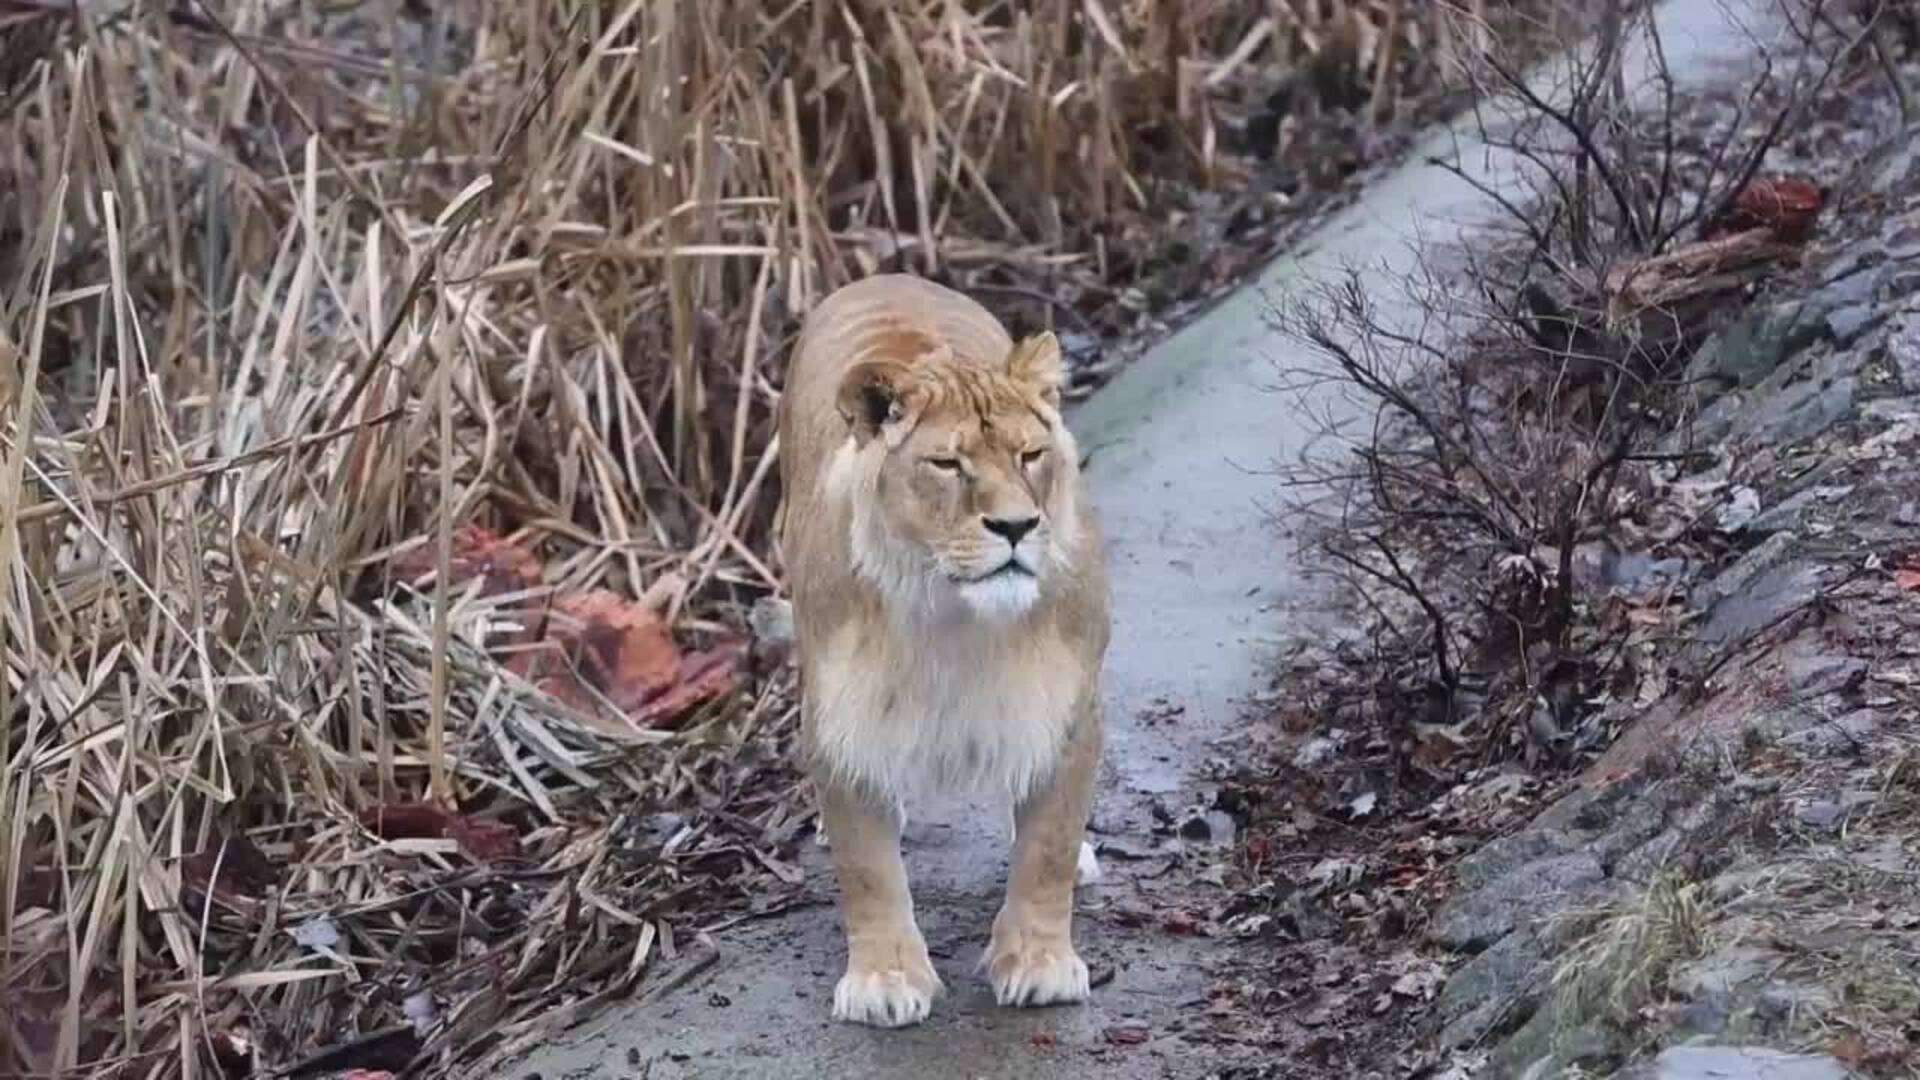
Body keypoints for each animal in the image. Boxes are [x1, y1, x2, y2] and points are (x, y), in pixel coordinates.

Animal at [775, 272, 1113, 1022]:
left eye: (1030, 455)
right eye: (947, 465)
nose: (1016, 526)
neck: (954, 616)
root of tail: (890, 275)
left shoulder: (1067, 703)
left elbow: (1047, 845)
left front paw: (1039, 963)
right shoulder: (842, 717)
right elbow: (867, 868)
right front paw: (885, 979)